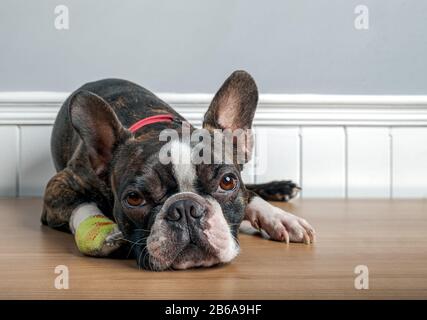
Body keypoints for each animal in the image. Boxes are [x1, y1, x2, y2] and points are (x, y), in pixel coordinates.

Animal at [41, 70, 314, 270]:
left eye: (227, 181)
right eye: (134, 198)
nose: (185, 208)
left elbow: (249, 196)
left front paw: (281, 218)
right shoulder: (61, 184)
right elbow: (84, 206)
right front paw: (104, 233)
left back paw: (280, 188)